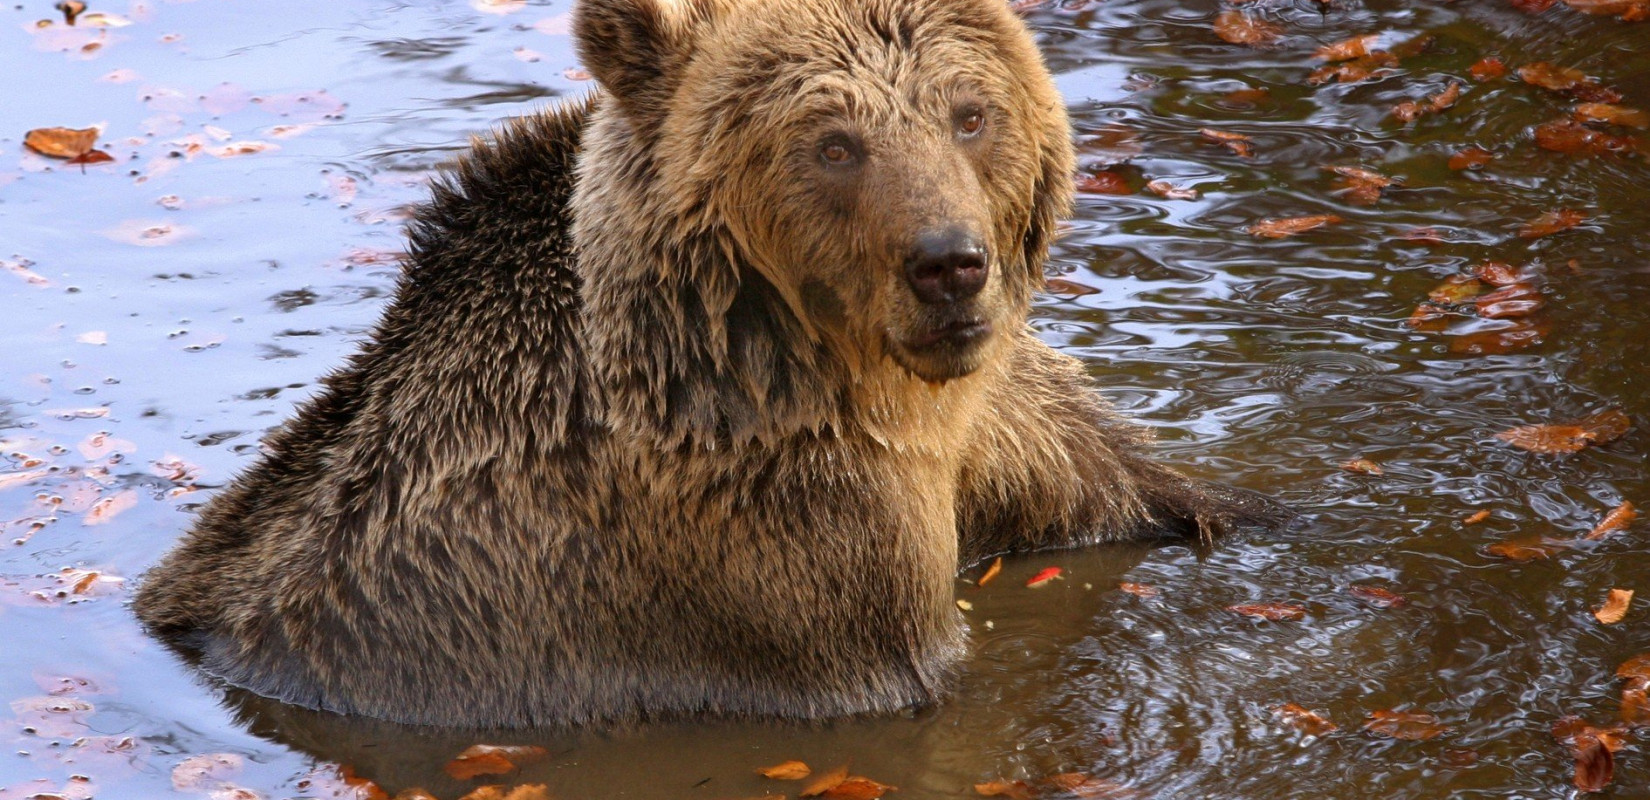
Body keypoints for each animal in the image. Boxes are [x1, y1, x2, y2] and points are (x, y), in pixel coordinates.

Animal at [135, 0, 1280, 725]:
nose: (949, 264)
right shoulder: (794, 550)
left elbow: (1149, 486)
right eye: (834, 142)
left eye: (970, 112)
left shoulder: (1006, 418)